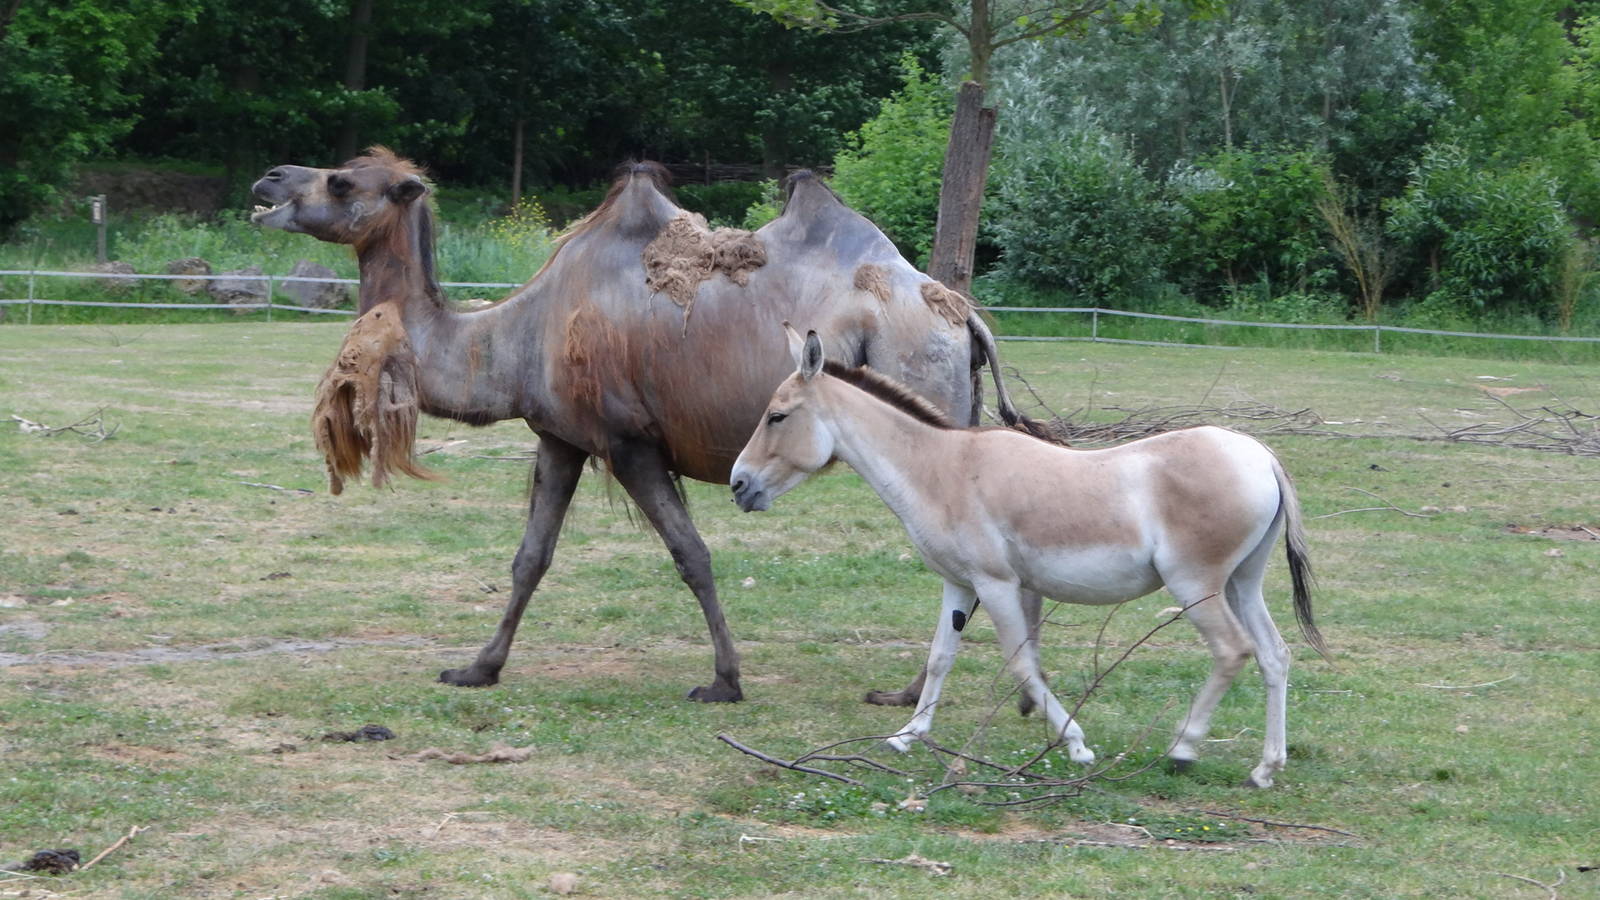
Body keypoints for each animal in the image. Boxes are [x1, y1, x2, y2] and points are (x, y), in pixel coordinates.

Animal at [250, 148, 1028, 703]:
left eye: (343, 182)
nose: (269, 177)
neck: (517, 334)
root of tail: (964, 318)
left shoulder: (629, 441)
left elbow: (691, 554)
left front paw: (724, 681)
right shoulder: (560, 437)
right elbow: (530, 558)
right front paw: (477, 668)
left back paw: (908, 691)